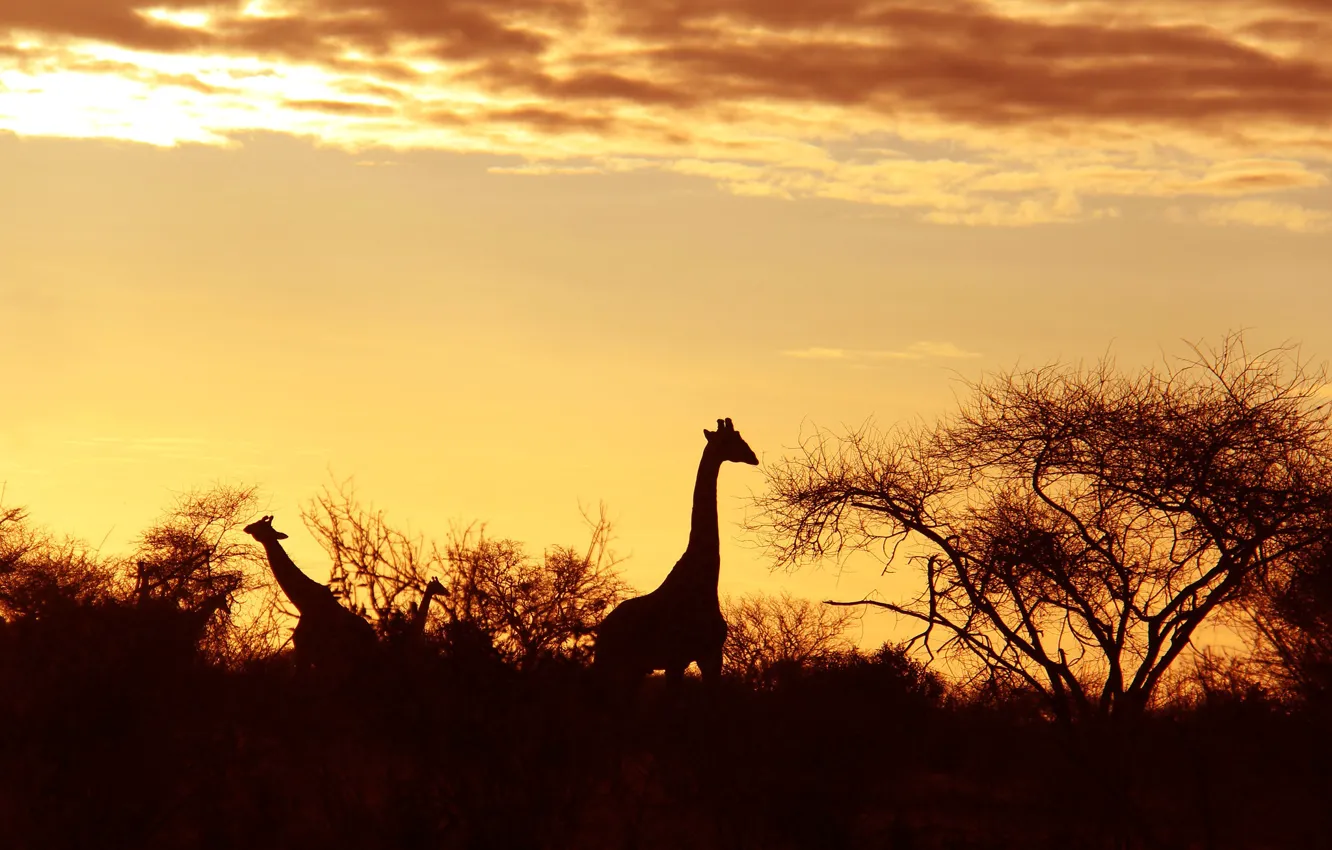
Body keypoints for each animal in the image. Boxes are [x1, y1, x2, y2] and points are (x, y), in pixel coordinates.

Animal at [593, 417, 758, 690]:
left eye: (740, 437)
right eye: (730, 440)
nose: (753, 457)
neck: (704, 583)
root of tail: (603, 626)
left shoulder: (712, 656)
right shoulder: (675, 659)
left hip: (635, 668)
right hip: (608, 662)